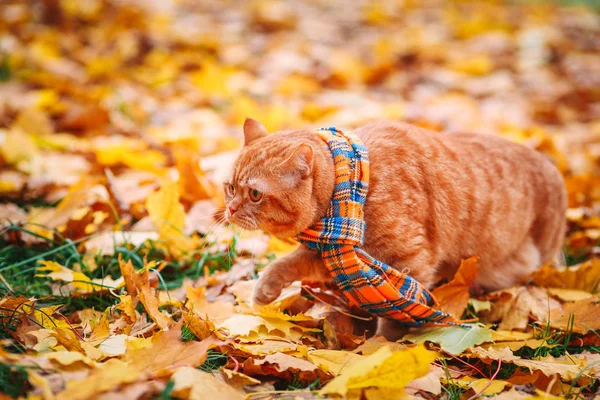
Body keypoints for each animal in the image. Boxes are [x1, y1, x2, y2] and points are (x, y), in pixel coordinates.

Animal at [224, 119, 568, 338]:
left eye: (254, 194)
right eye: (230, 188)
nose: (230, 209)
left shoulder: (409, 260)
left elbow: (398, 310)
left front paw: (382, 347)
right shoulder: (335, 252)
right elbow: (287, 263)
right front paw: (265, 289)